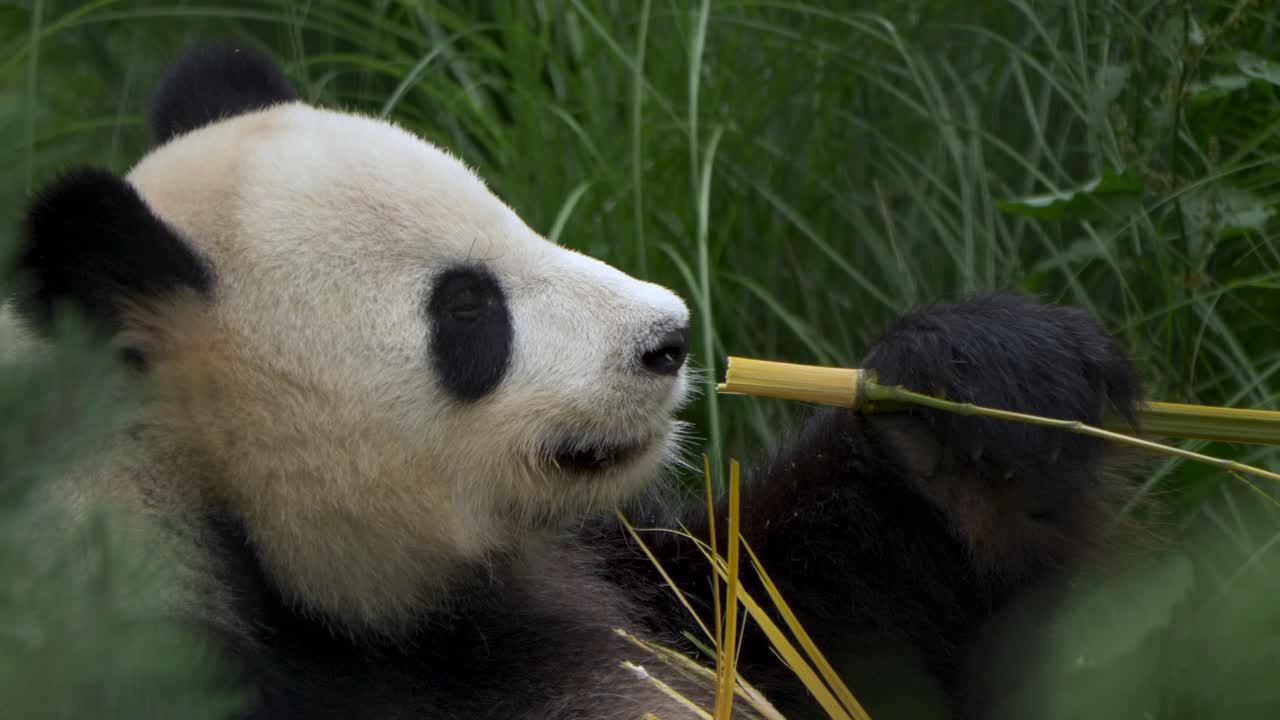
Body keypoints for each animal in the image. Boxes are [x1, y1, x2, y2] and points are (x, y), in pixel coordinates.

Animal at [11, 45, 1142, 720]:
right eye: (468, 311)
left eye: (517, 218)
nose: (668, 339)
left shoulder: (600, 574)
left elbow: (797, 608)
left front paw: (976, 403)